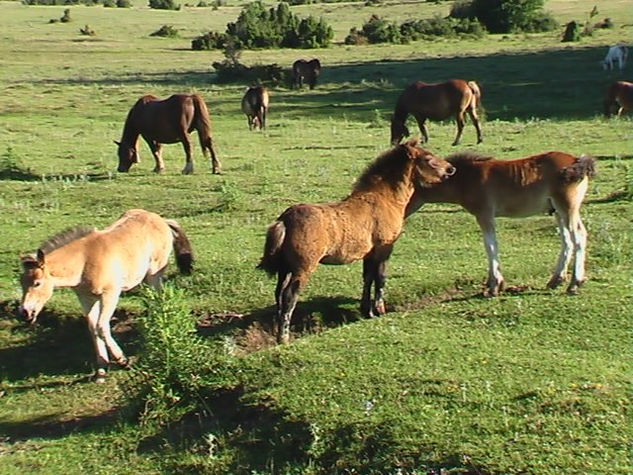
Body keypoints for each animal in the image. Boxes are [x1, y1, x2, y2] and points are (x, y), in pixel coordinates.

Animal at [19, 209, 193, 384]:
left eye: (37, 283)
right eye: (21, 283)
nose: (25, 313)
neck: (85, 262)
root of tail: (161, 220)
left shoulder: (110, 294)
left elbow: (102, 327)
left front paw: (123, 361)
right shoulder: (86, 298)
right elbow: (93, 328)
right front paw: (101, 370)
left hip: (154, 274)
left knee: (160, 299)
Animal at [256, 139, 454, 344]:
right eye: (428, 158)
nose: (451, 169)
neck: (386, 199)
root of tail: (285, 220)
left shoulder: (369, 253)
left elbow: (367, 278)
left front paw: (367, 311)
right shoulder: (384, 248)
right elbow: (380, 277)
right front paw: (380, 310)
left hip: (284, 268)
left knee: (278, 293)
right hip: (302, 268)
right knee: (289, 296)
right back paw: (284, 337)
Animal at [408, 152, 596, 298]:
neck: (465, 179)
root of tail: (577, 160)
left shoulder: (484, 214)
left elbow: (490, 245)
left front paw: (494, 286)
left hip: (567, 207)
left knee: (579, 236)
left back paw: (575, 284)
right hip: (557, 211)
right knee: (567, 240)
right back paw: (556, 280)